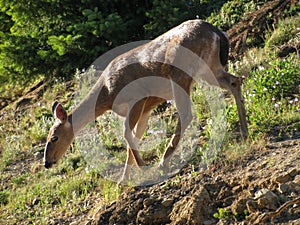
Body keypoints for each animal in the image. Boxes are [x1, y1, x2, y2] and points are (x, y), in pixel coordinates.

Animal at [42, 19, 248, 181]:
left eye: (54, 137)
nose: (46, 163)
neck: (107, 94)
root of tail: (215, 31)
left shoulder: (138, 98)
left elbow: (127, 134)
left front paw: (142, 168)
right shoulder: (146, 109)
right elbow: (135, 136)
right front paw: (124, 179)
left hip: (180, 74)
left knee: (186, 114)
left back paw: (163, 162)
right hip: (210, 68)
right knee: (235, 81)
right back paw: (244, 130)